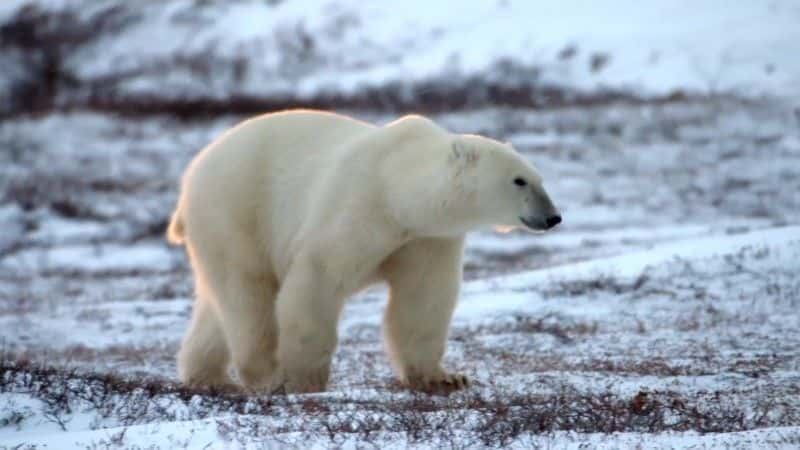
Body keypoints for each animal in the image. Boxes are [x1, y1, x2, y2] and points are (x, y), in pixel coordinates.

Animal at [166, 110, 560, 394]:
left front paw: (444, 378)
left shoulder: (427, 238)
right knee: (248, 294)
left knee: (218, 304)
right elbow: (317, 278)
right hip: (235, 212)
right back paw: (264, 376)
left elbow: (424, 299)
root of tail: (190, 180)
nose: (553, 217)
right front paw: (305, 380)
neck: (397, 189)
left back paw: (208, 377)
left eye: (540, 178)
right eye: (519, 180)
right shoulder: (359, 206)